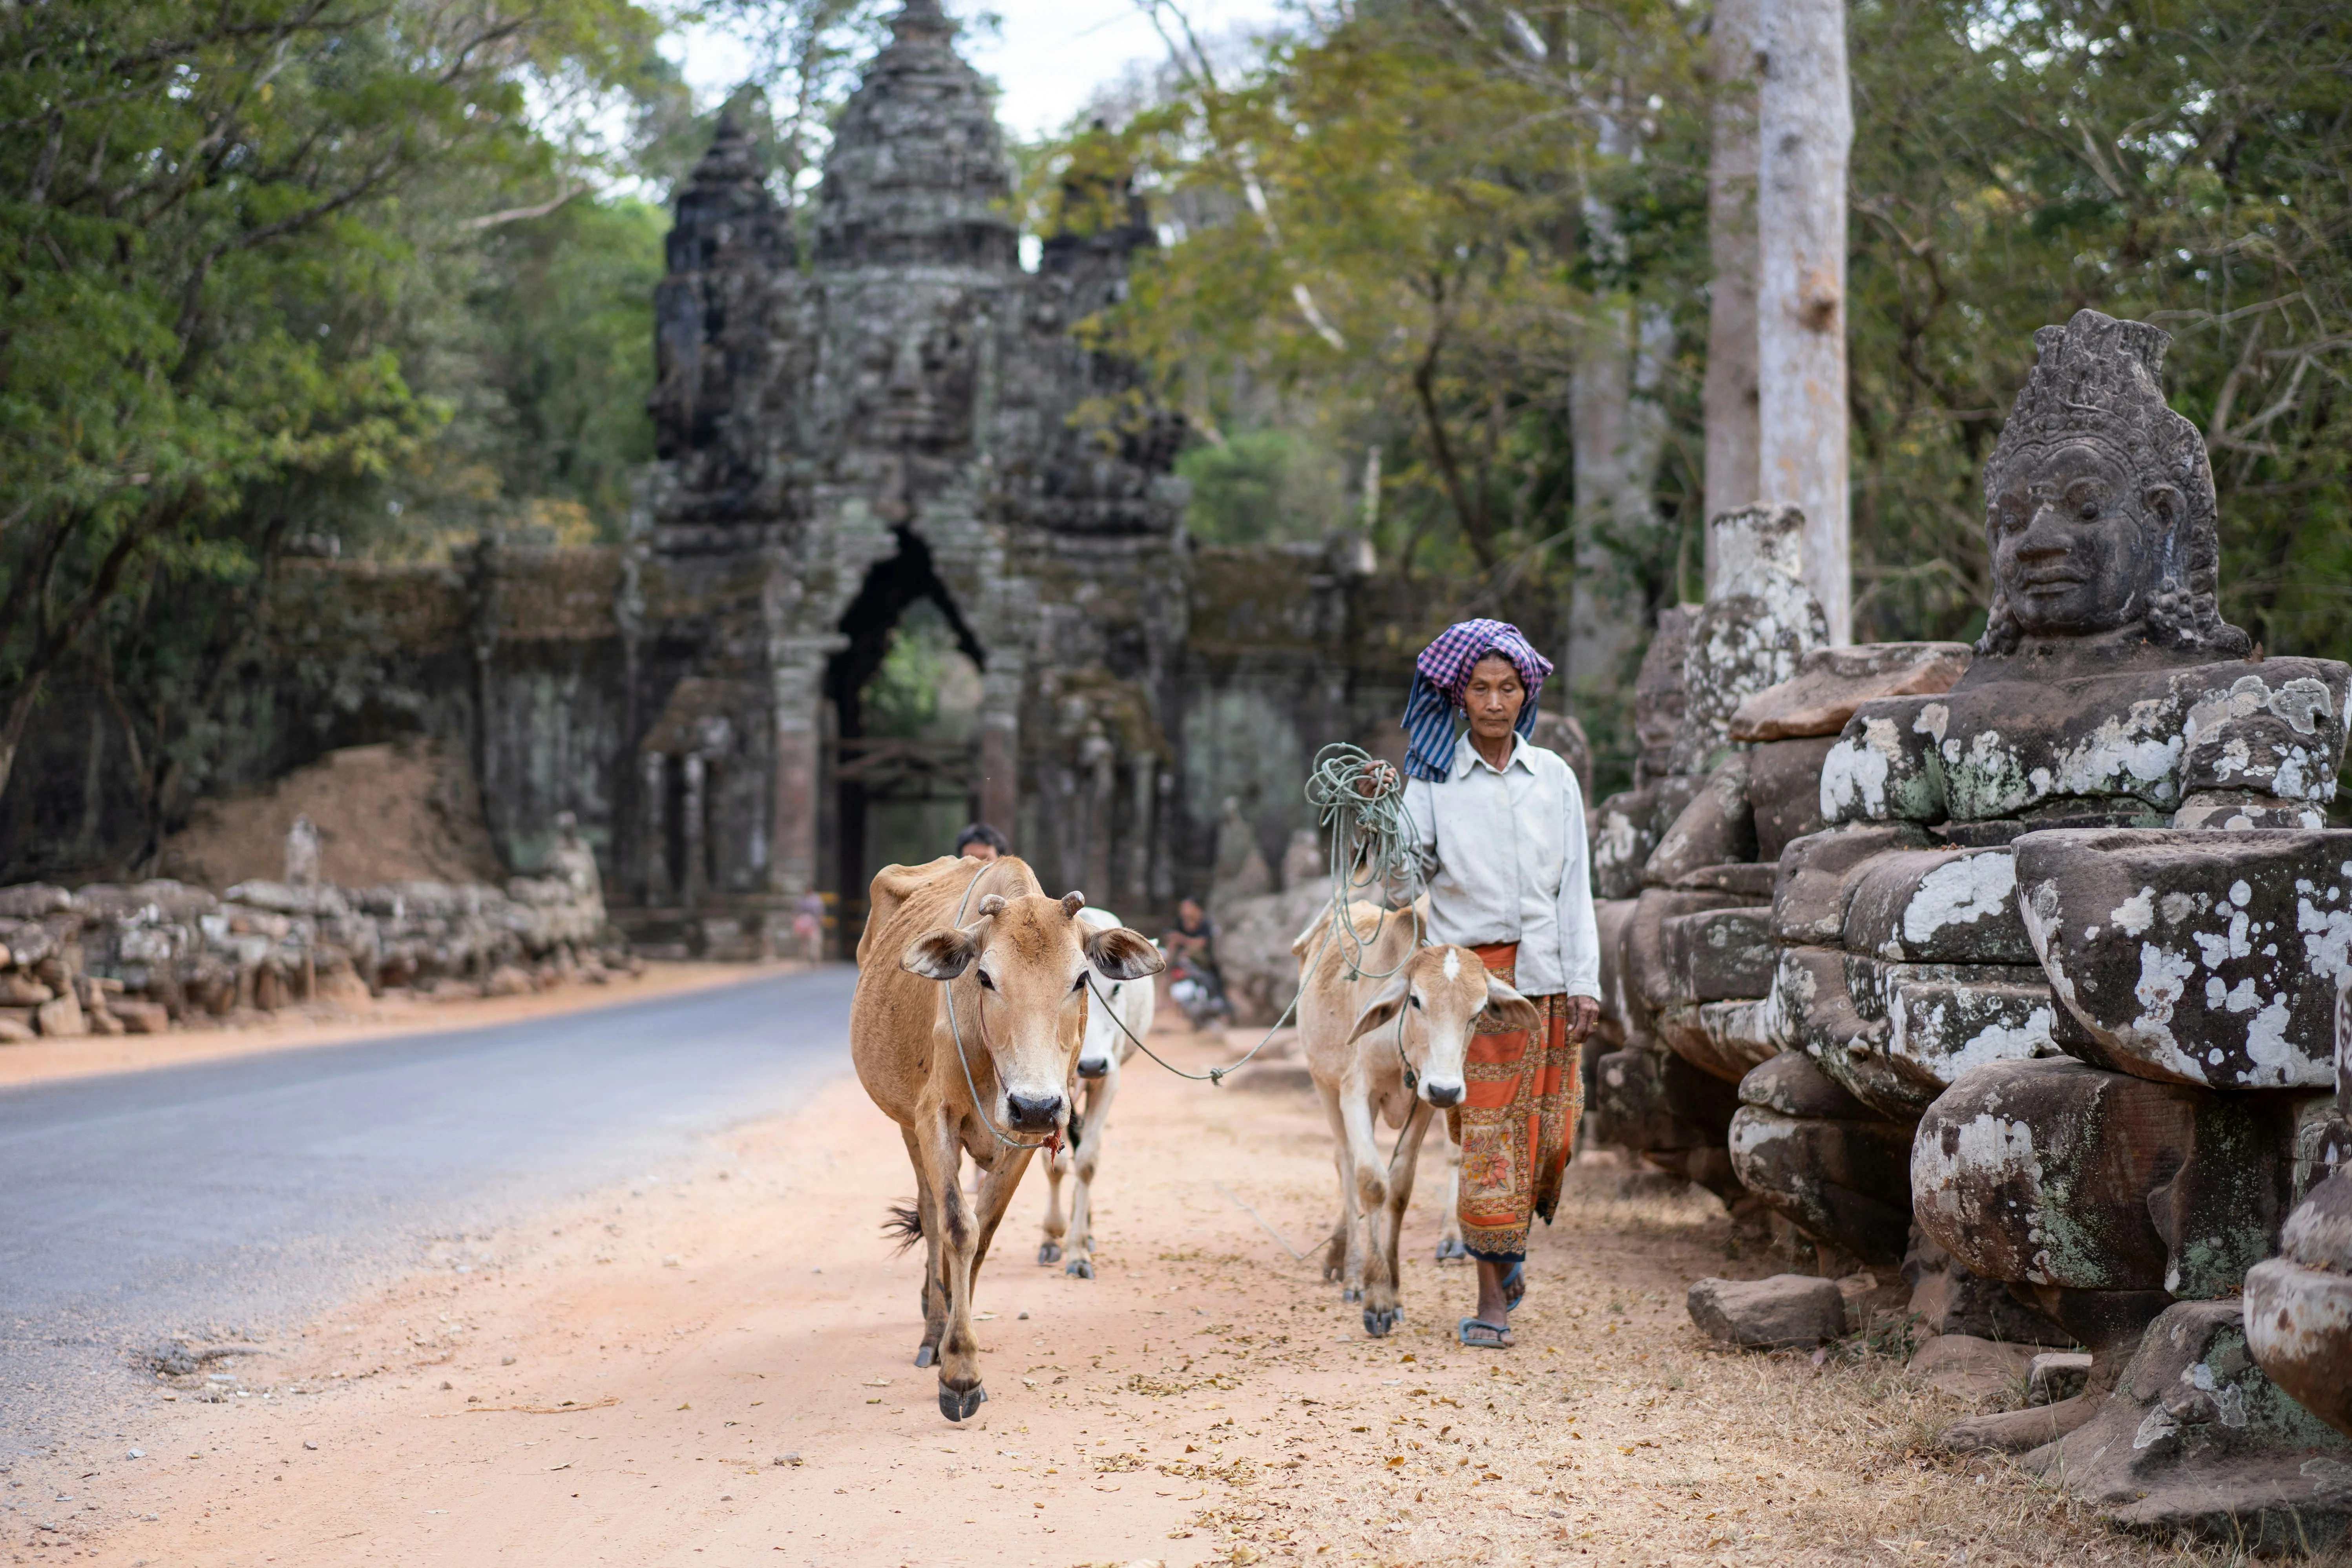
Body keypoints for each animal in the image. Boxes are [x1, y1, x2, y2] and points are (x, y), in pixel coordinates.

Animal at [1044, 907, 1162, 1279]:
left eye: (1117, 990)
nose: (1092, 1065)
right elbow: (1056, 1163)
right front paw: (1052, 1235)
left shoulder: (1109, 1081)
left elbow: (1086, 1163)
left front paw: (1079, 1251)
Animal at [1289, 902, 1543, 1335]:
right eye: (1417, 1000)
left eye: (1478, 1012)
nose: (1446, 1089)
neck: (1400, 1042)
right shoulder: (1356, 1091)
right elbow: (1372, 1182)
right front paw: (1375, 1298)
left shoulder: (1424, 1104)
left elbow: (1401, 1187)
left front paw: (1392, 1291)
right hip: (1323, 1081)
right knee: (1345, 1163)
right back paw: (1352, 1272)